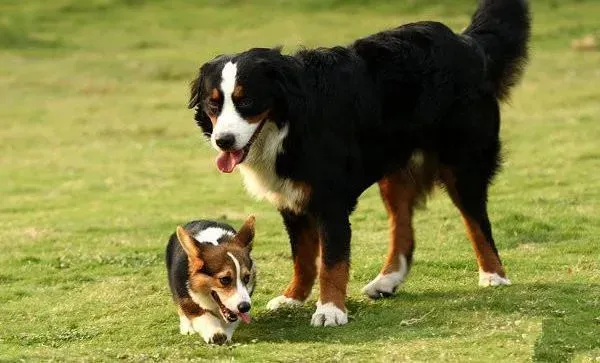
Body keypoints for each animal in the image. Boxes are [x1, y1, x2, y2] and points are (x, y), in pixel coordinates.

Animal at [165, 218, 256, 346]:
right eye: (224, 279)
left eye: (247, 278)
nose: (245, 307)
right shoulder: (185, 295)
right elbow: (200, 314)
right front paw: (215, 332)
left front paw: (226, 332)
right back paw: (187, 328)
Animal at [186, 0, 528, 328]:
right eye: (214, 104)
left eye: (246, 101)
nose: (224, 141)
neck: (288, 123)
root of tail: (466, 43)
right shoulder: (291, 199)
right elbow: (303, 258)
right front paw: (293, 297)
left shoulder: (330, 201)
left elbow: (332, 262)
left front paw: (330, 310)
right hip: (395, 172)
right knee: (403, 229)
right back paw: (387, 280)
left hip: (462, 163)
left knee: (477, 221)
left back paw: (493, 275)